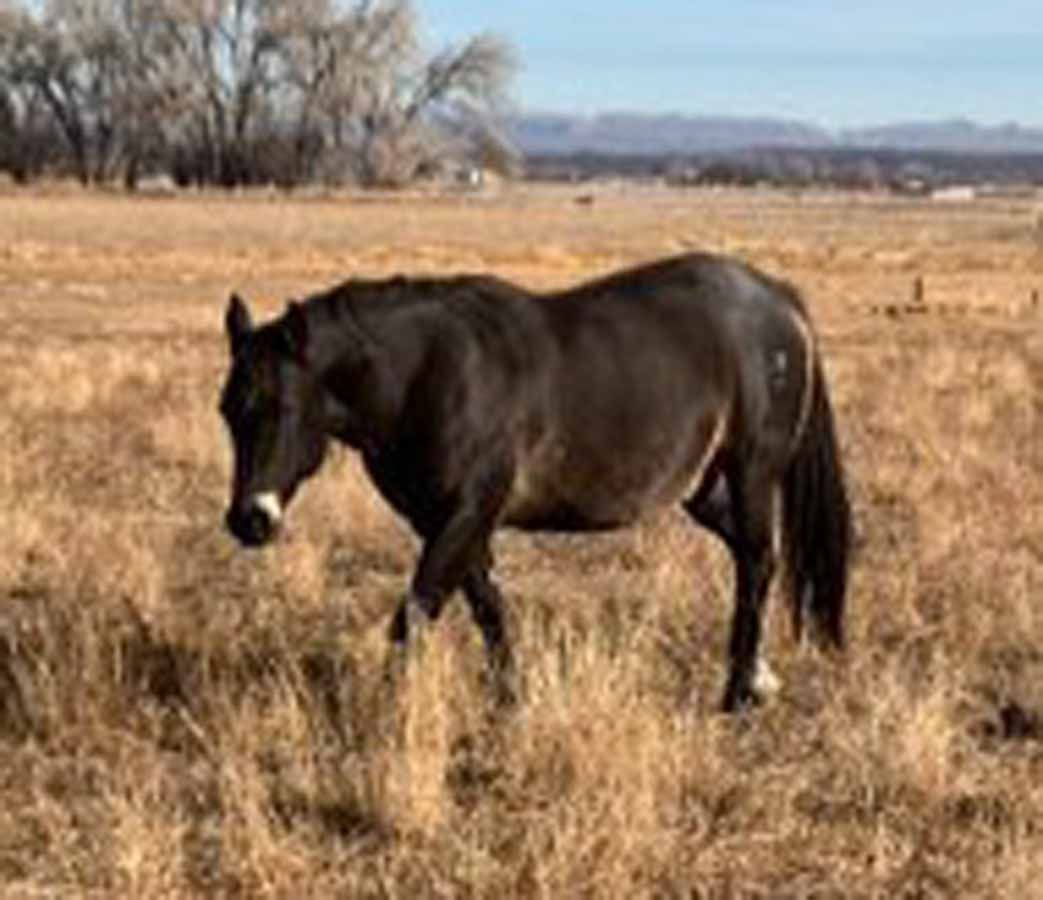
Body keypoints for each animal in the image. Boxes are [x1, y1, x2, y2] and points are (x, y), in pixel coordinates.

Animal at [219, 252, 851, 712]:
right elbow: (486, 607)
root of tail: (778, 300)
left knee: (757, 563)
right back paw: (758, 679)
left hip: (752, 474)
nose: (249, 519)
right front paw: (510, 699)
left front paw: (385, 712)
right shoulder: (448, 522)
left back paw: (737, 693)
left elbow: (417, 610)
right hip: (706, 489)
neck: (429, 372)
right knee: (754, 558)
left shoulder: (466, 514)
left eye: (280, 408)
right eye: (227, 409)